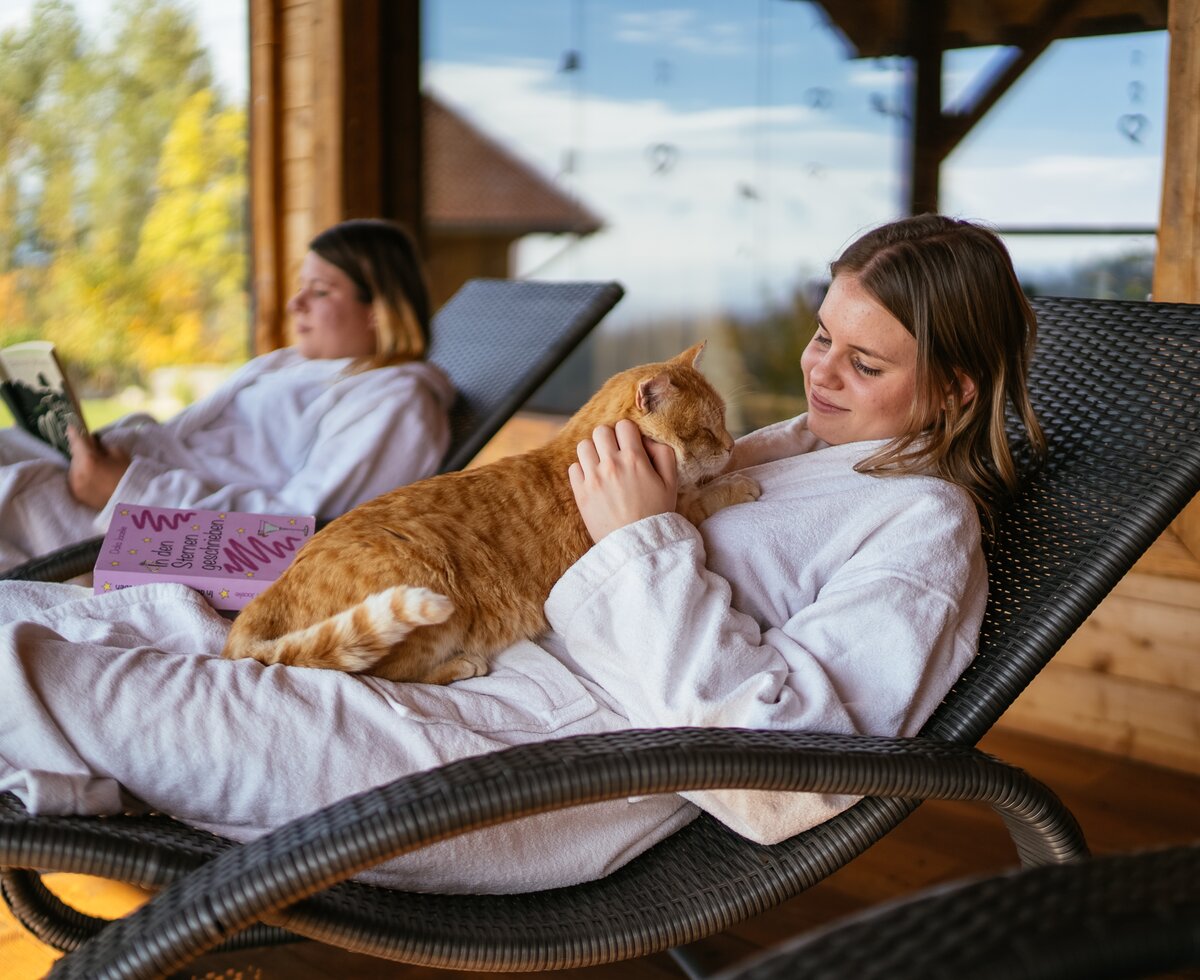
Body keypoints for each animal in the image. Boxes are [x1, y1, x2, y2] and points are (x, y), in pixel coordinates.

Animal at [223, 343, 758, 681]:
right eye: (706, 430)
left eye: (724, 423)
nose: (732, 444)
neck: (574, 458)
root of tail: (270, 593)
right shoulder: (663, 510)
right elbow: (701, 498)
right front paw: (740, 481)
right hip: (431, 586)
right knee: (382, 673)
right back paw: (462, 666)